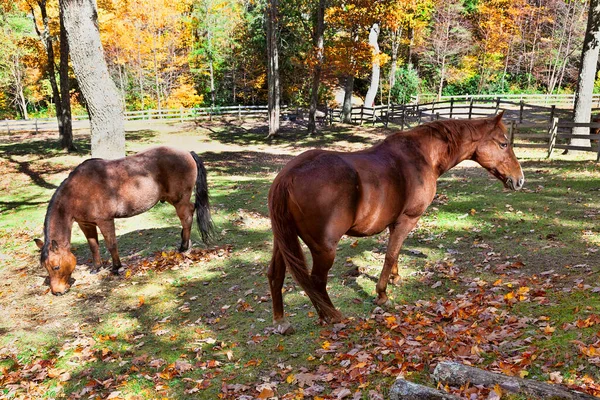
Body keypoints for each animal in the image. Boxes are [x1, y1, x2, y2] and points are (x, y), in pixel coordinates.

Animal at [34, 146, 213, 294]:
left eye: (56, 267)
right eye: (46, 268)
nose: (57, 292)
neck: (78, 191)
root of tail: (187, 153)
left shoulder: (105, 221)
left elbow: (111, 244)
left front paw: (117, 268)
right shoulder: (86, 224)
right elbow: (93, 246)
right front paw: (97, 268)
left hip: (179, 201)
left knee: (186, 217)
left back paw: (183, 247)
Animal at [268, 112, 524, 332]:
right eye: (503, 144)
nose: (520, 180)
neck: (423, 156)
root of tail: (288, 176)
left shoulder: (395, 222)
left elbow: (396, 252)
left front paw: (395, 278)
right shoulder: (408, 220)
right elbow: (390, 255)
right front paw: (382, 295)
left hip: (282, 241)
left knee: (275, 275)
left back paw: (281, 321)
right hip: (324, 250)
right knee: (316, 282)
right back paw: (332, 316)